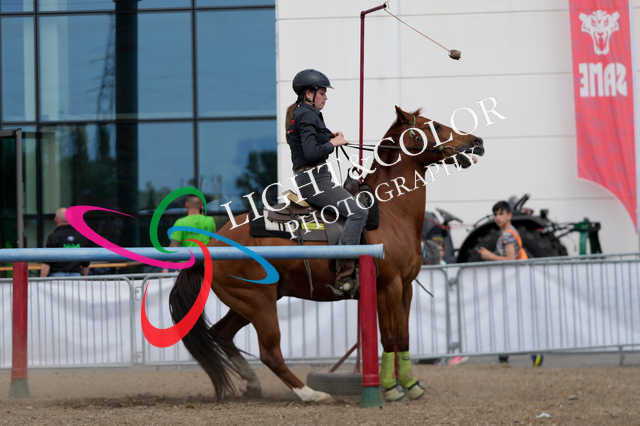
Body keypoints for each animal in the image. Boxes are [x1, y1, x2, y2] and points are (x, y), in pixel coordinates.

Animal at [169, 105, 484, 402]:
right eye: (436, 126)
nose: (476, 141)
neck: (391, 214)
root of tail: (214, 245)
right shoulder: (388, 286)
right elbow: (390, 337)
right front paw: (392, 389)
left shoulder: (405, 287)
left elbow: (403, 337)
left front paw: (411, 385)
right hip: (259, 303)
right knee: (269, 351)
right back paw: (311, 394)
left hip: (247, 301)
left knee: (221, 334)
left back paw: (253, 384)